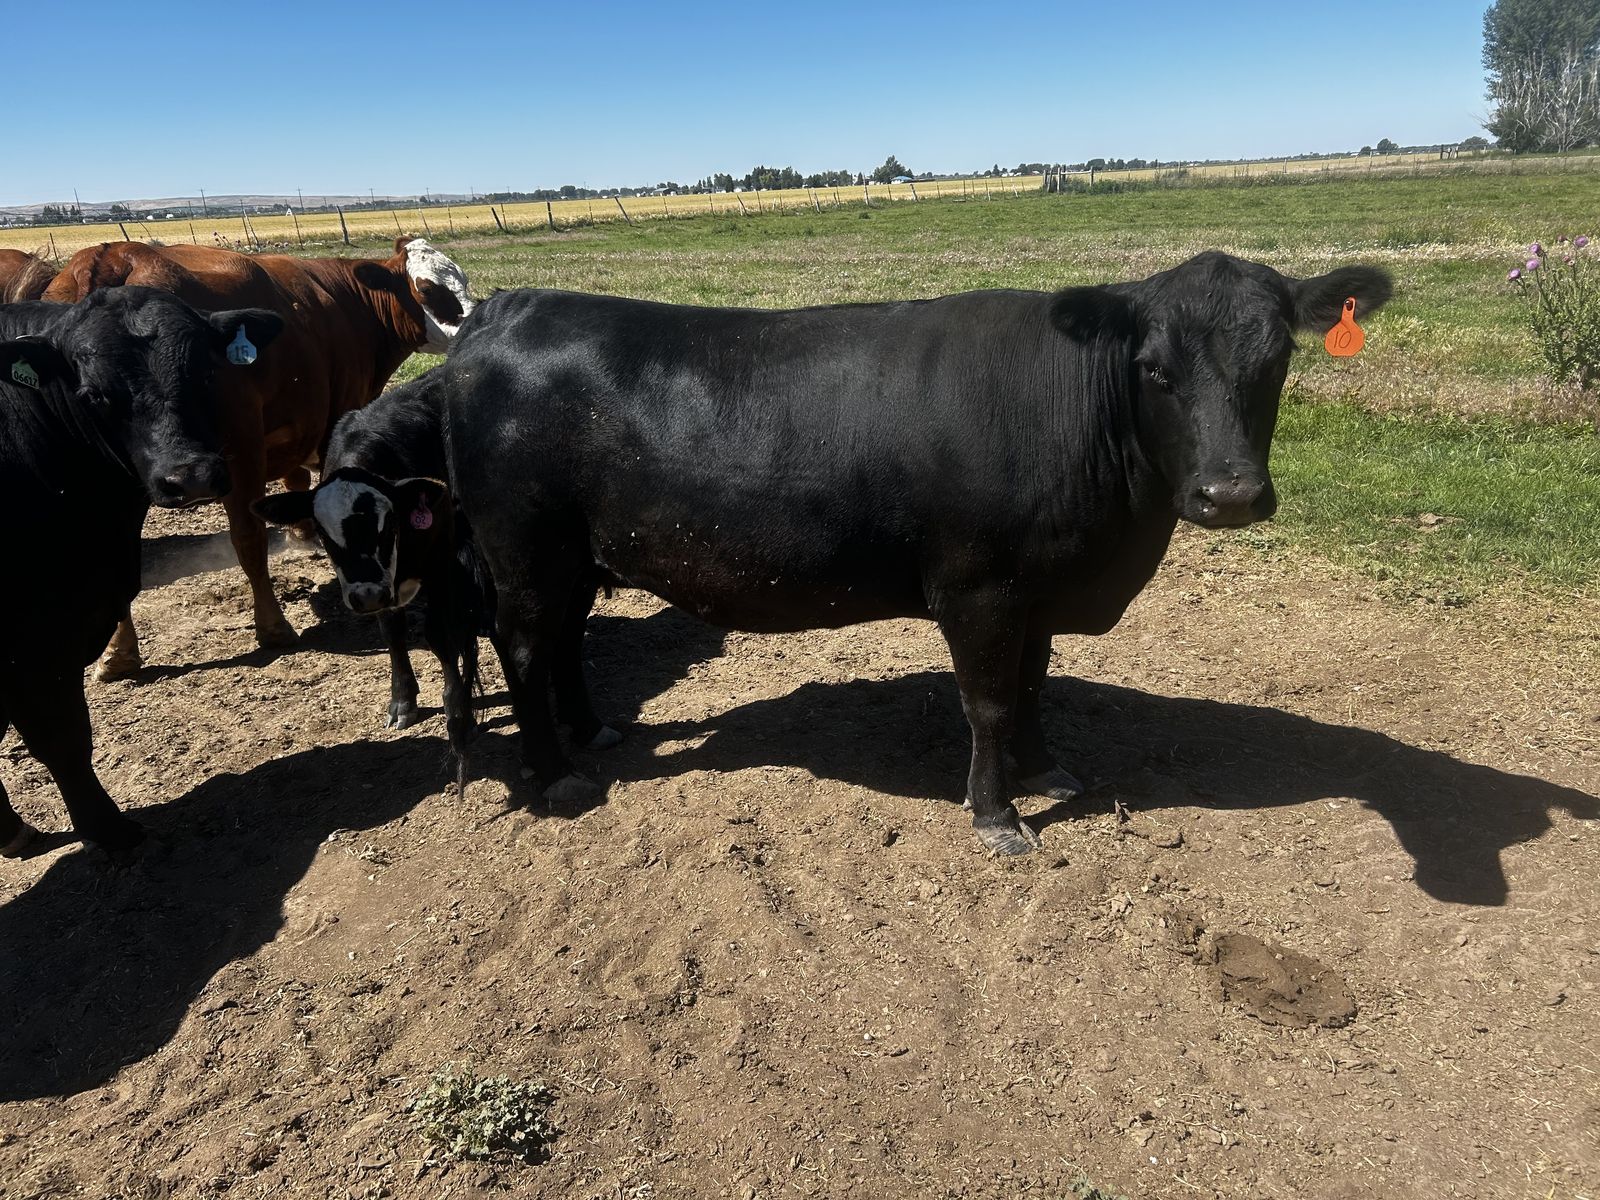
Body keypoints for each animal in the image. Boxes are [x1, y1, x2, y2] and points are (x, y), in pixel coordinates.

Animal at [0, 288, 283, 857]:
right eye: (93, 396)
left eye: (206, 374)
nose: (190, 476)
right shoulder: (36, 644)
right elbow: (63, 739)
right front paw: (109, 832)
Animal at [42, 236, 473, 679]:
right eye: (427, 289)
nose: (473, 323)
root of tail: (114, 256)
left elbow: (297, 480)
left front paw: (301, 533)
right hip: (238, 449)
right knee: (248, 538)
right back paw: (274, 627)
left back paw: (119, 652)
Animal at [251, 368, 502, 777]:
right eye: (323, 534)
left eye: (388, 526)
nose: (366, 595)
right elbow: (392, 632)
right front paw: (402, 701)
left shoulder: (442, 561)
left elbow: (441, 634)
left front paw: (458, 711)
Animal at [434, 252, 1391, 854]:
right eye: (1155, 369)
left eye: (1276, 361)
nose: (1231, 495)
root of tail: (503, 309)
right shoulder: (980, 589)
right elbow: (989, 703)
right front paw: (997, 815)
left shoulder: (1036, 592)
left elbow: (1032, 688)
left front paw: (1046, 772)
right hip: (523, 550)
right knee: (524, 647)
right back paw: (555, 776)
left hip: (574, 557)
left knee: (564, 642)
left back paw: (593, 731)